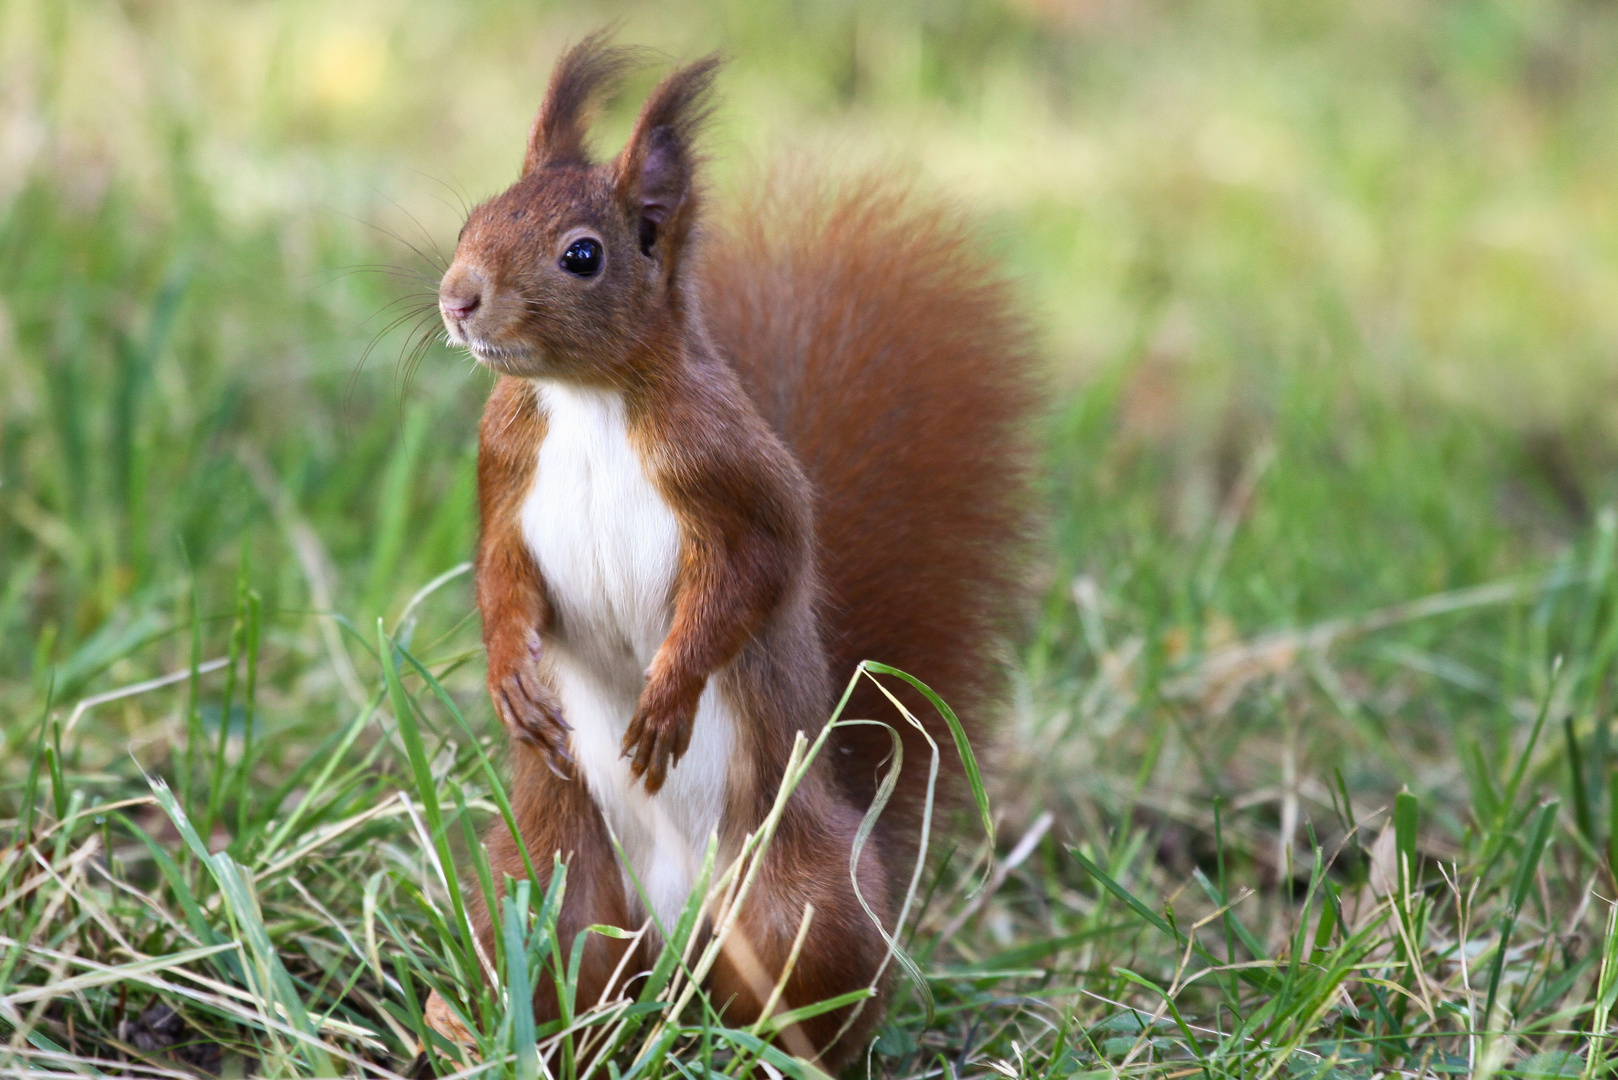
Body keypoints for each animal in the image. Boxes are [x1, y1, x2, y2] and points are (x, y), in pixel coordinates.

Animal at [436, 35, 1029, 1075]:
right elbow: (502, 583)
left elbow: (744, 588)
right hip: (549, 892)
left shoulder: (737, 487)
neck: (585, 399)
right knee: (577, 973)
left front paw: (666, 698)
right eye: (475, 218)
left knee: (806, 1005)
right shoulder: (503, 480)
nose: (457, 298)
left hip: (802, 910)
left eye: (582, 256)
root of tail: (678, 939)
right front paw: (514, 679)